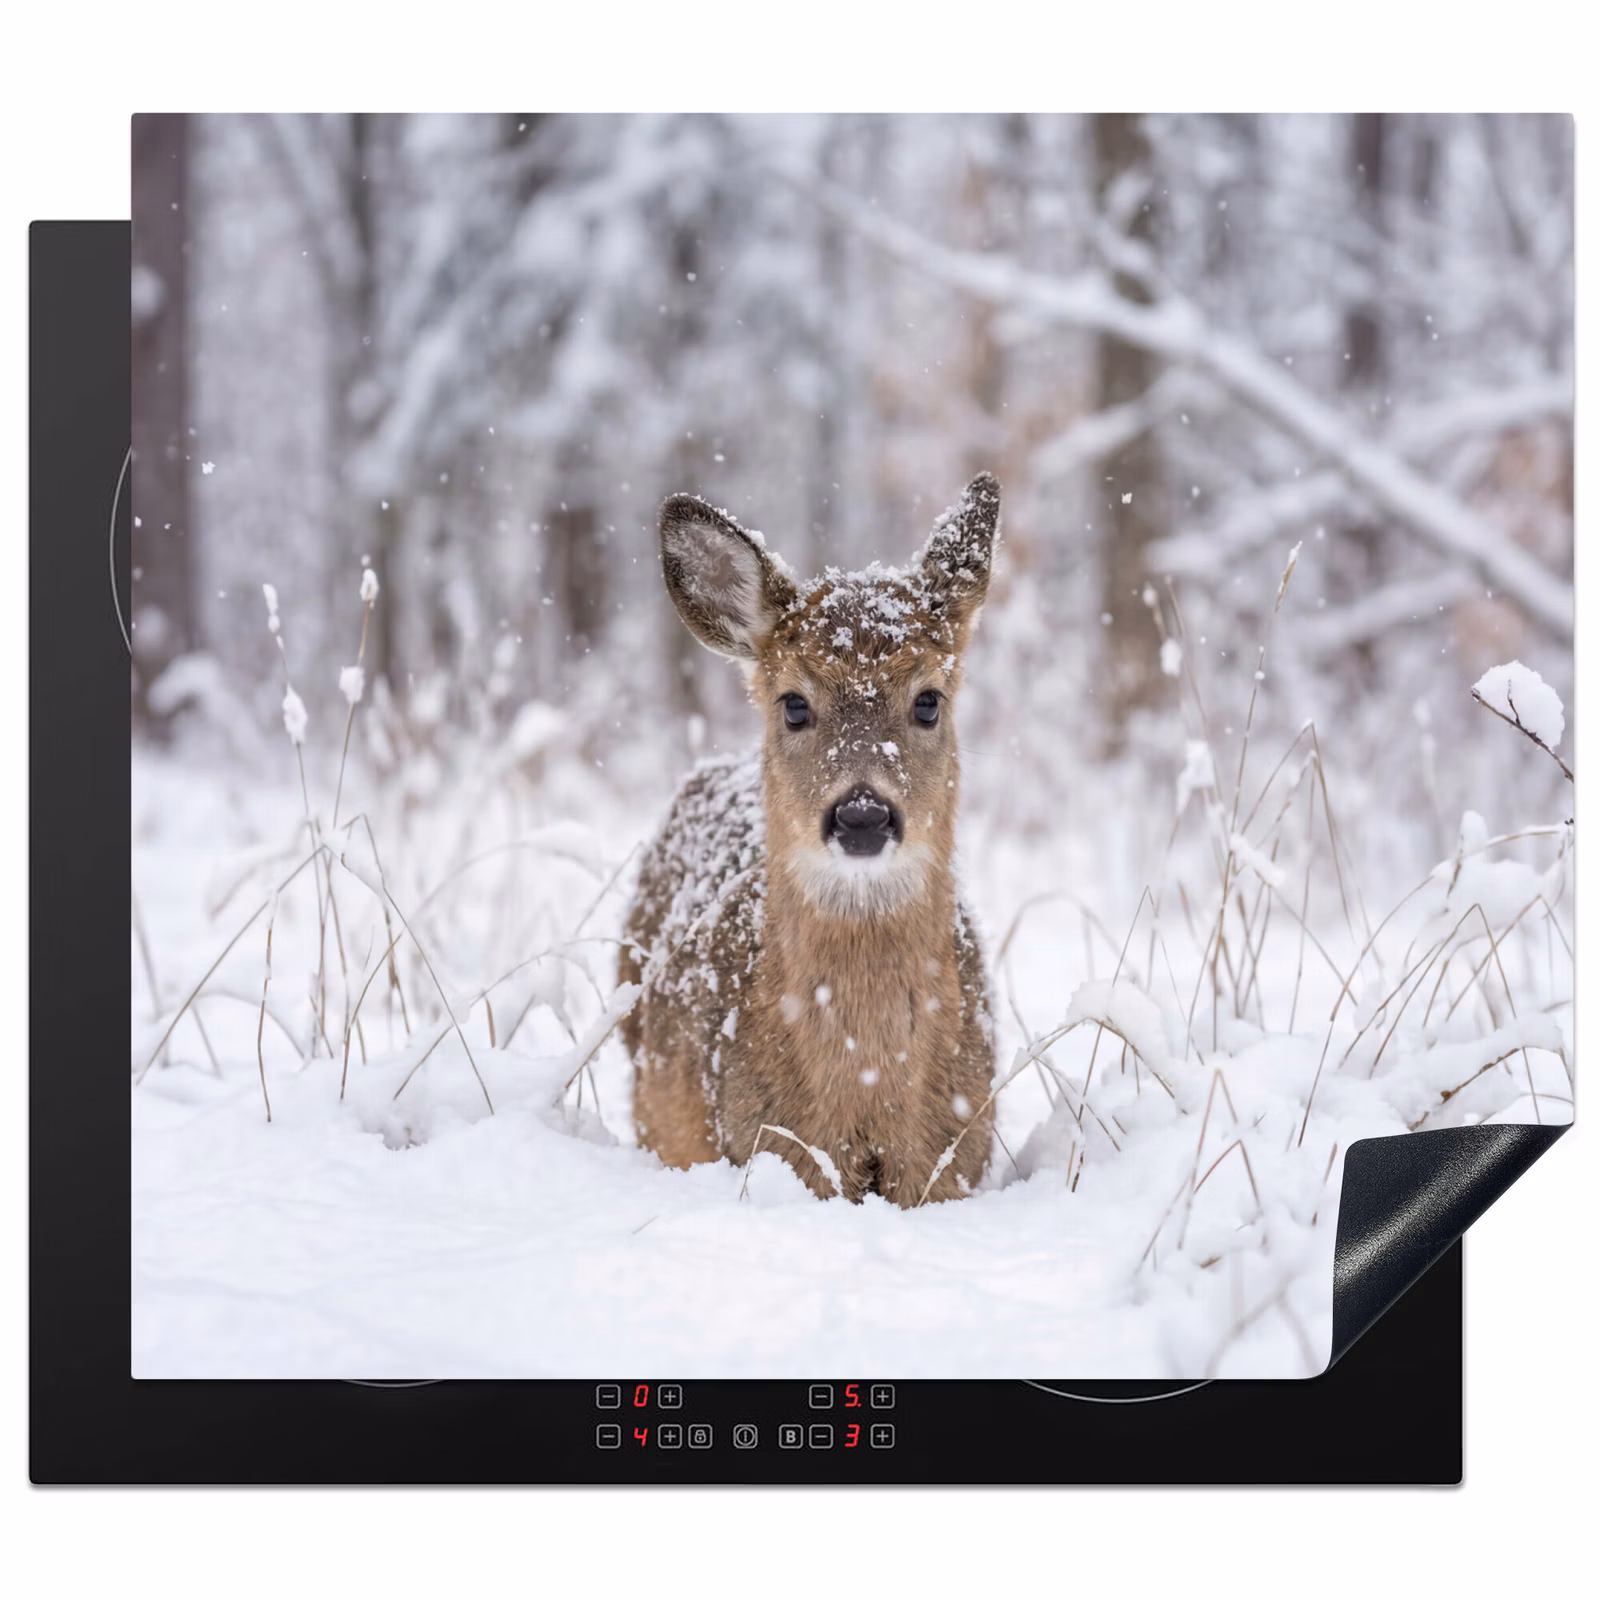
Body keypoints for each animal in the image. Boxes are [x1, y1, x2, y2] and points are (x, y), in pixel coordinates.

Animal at [617, 473, 1001, 1206]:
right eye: (794, 703)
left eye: (928, 700)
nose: (862, 816)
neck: (870, 1094)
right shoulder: (768, 1146)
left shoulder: (956, 1159)